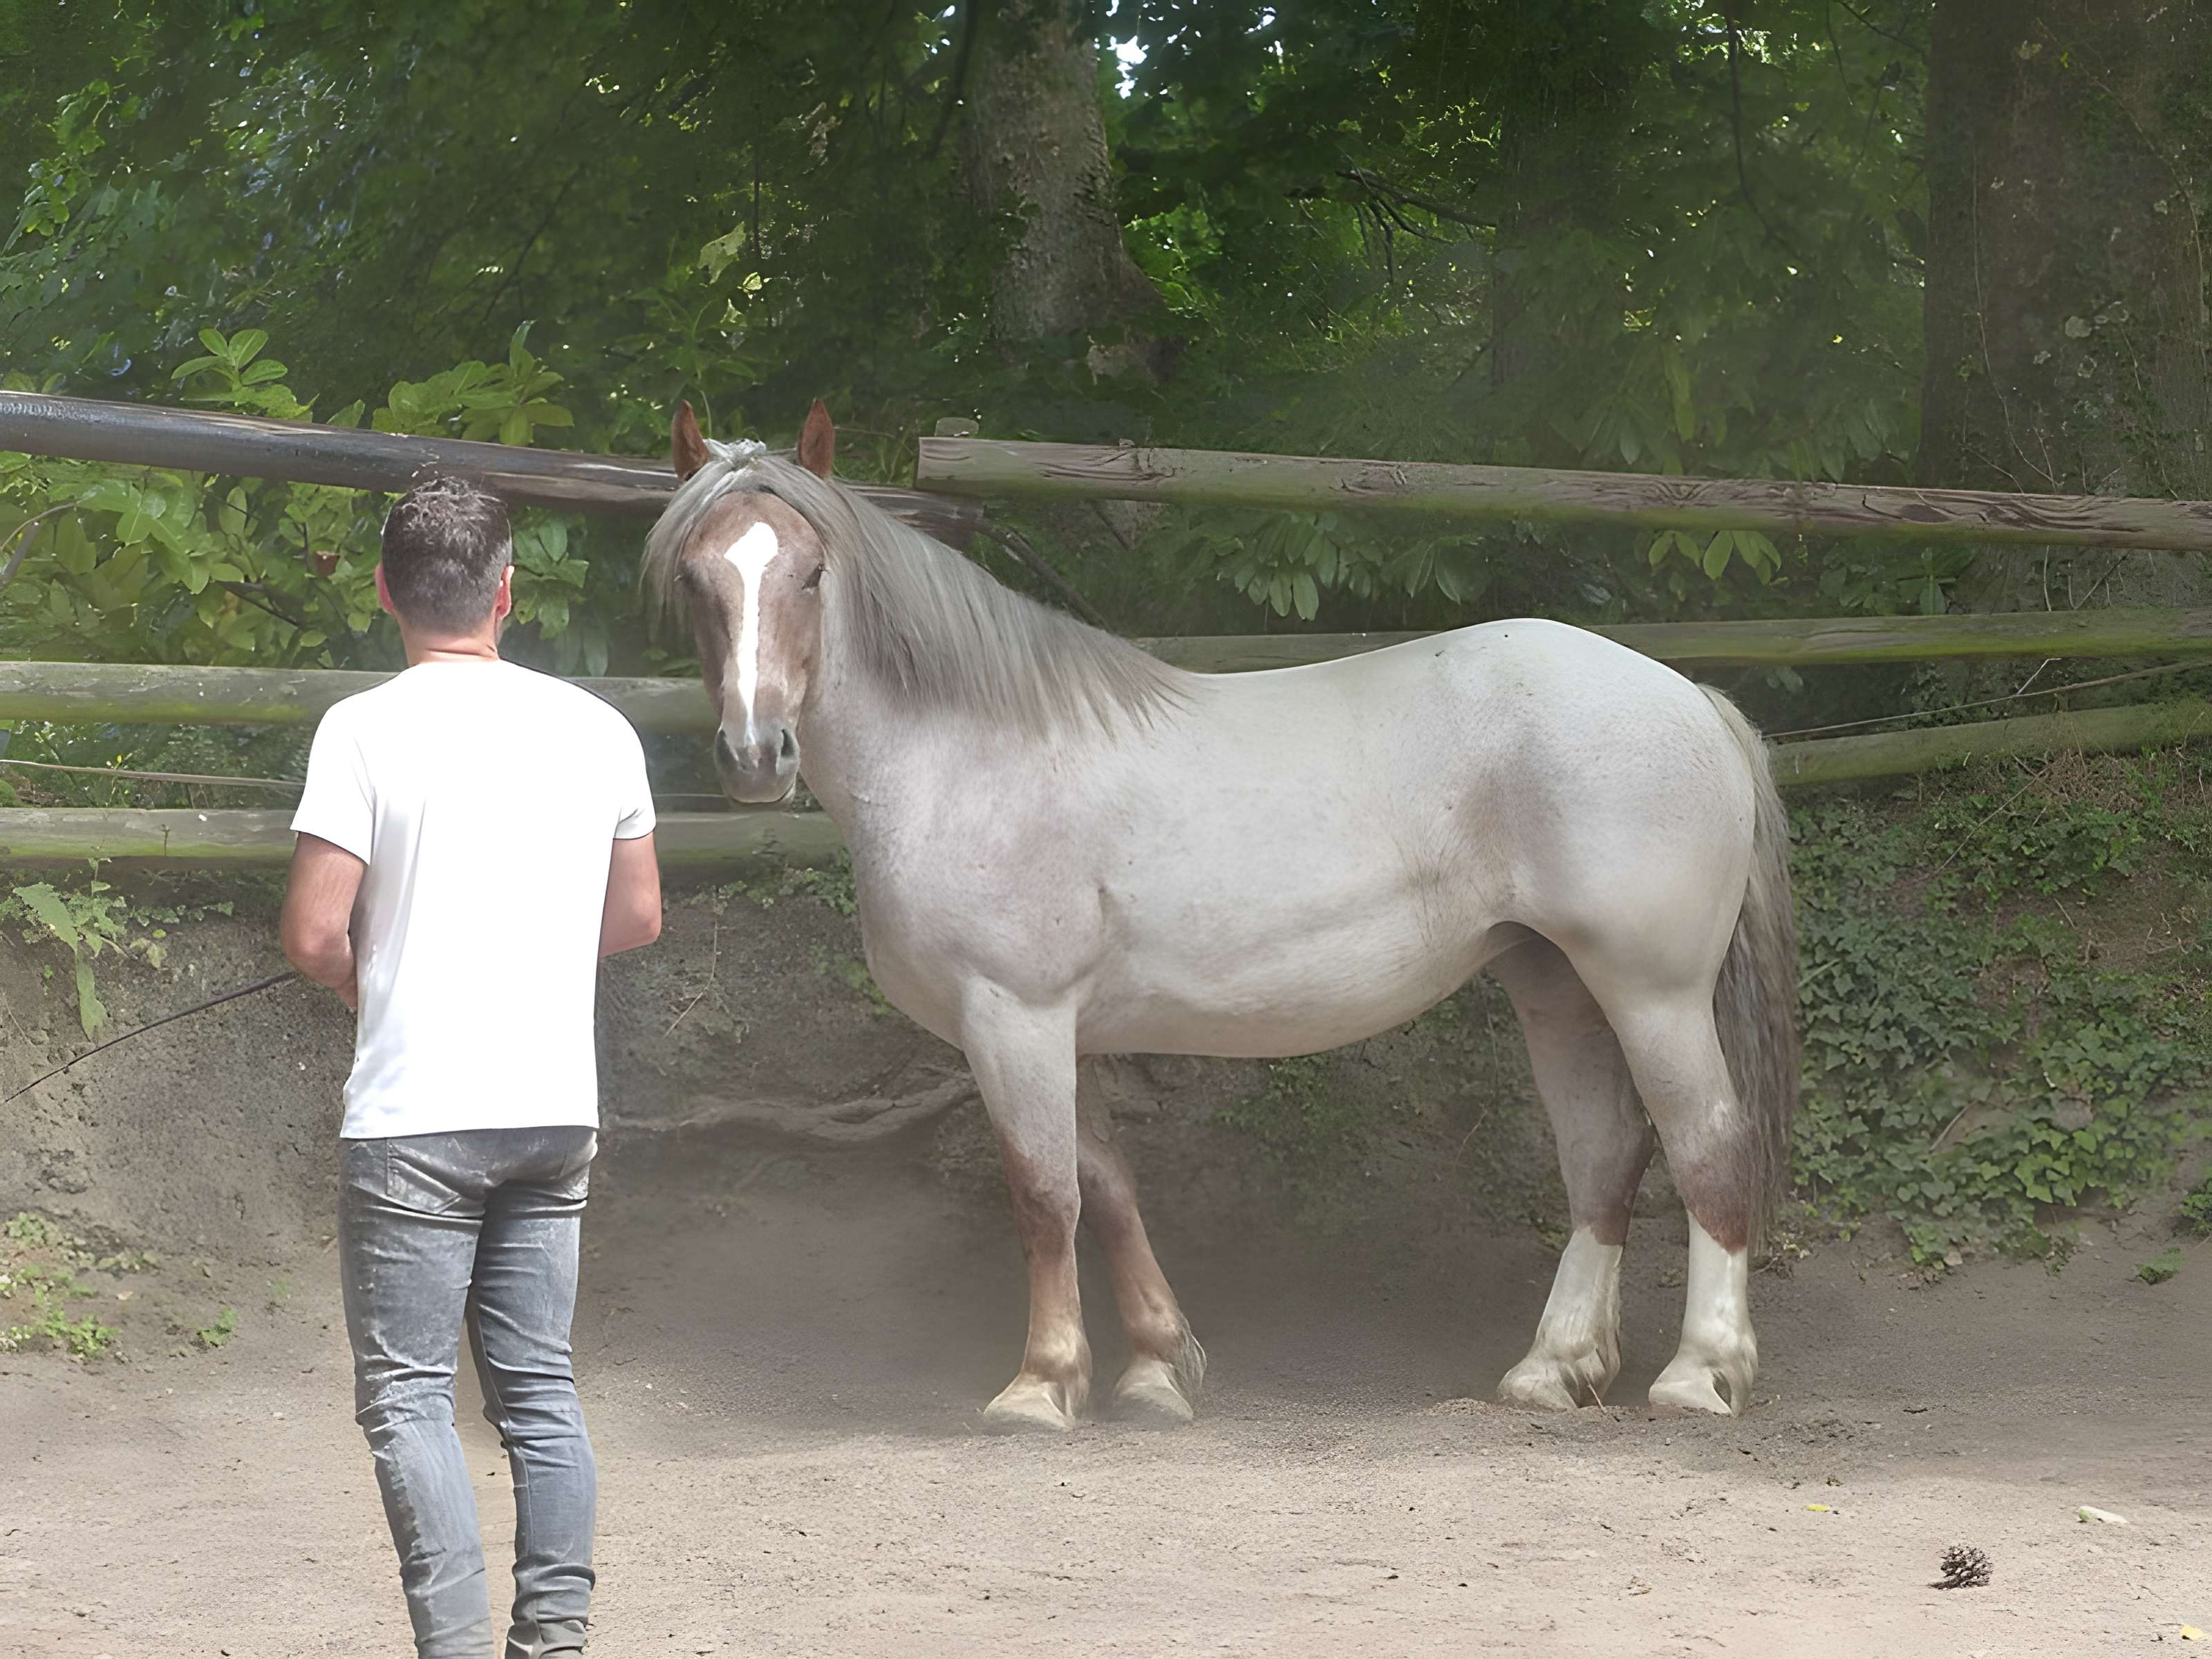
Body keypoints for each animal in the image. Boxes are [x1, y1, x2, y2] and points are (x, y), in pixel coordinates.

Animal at [643, 400, 1799, 1430]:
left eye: (810, 573)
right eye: (698, 577)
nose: (755, 756)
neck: (967, 758)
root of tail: (1693, 700)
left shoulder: (1013, 1016)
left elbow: (1045, 1197)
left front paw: (1041, 1387)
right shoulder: (1060, 1030)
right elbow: (1108, 1187)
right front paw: (1159, 1369)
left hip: (1654, 993)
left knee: (1709, 1147)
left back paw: (1700, 1376)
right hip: (1553, 980)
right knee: (1604, 1156)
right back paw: (1553, 1371)